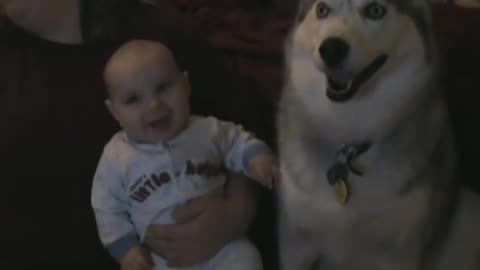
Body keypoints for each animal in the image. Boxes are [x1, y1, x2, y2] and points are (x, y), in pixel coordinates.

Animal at [276, 0, 480, 270]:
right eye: (322, 10)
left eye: (375, 10)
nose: (331, 49)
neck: (349, 135)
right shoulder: (297, 241)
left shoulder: (400, 251)